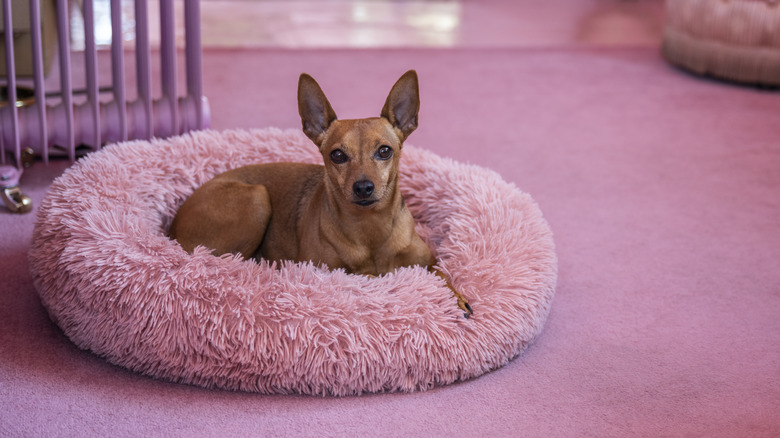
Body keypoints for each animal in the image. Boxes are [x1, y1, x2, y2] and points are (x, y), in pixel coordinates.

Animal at [171, 71, 472, 318]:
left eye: (385, 151)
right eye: (337, 155)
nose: (363, 187)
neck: (370, 226)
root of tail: (172, 225)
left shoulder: (427, 262)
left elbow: (441, 275)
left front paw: (455, 299)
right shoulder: (328, 272)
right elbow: (366, 276)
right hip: (256, 199)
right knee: (226, 264)